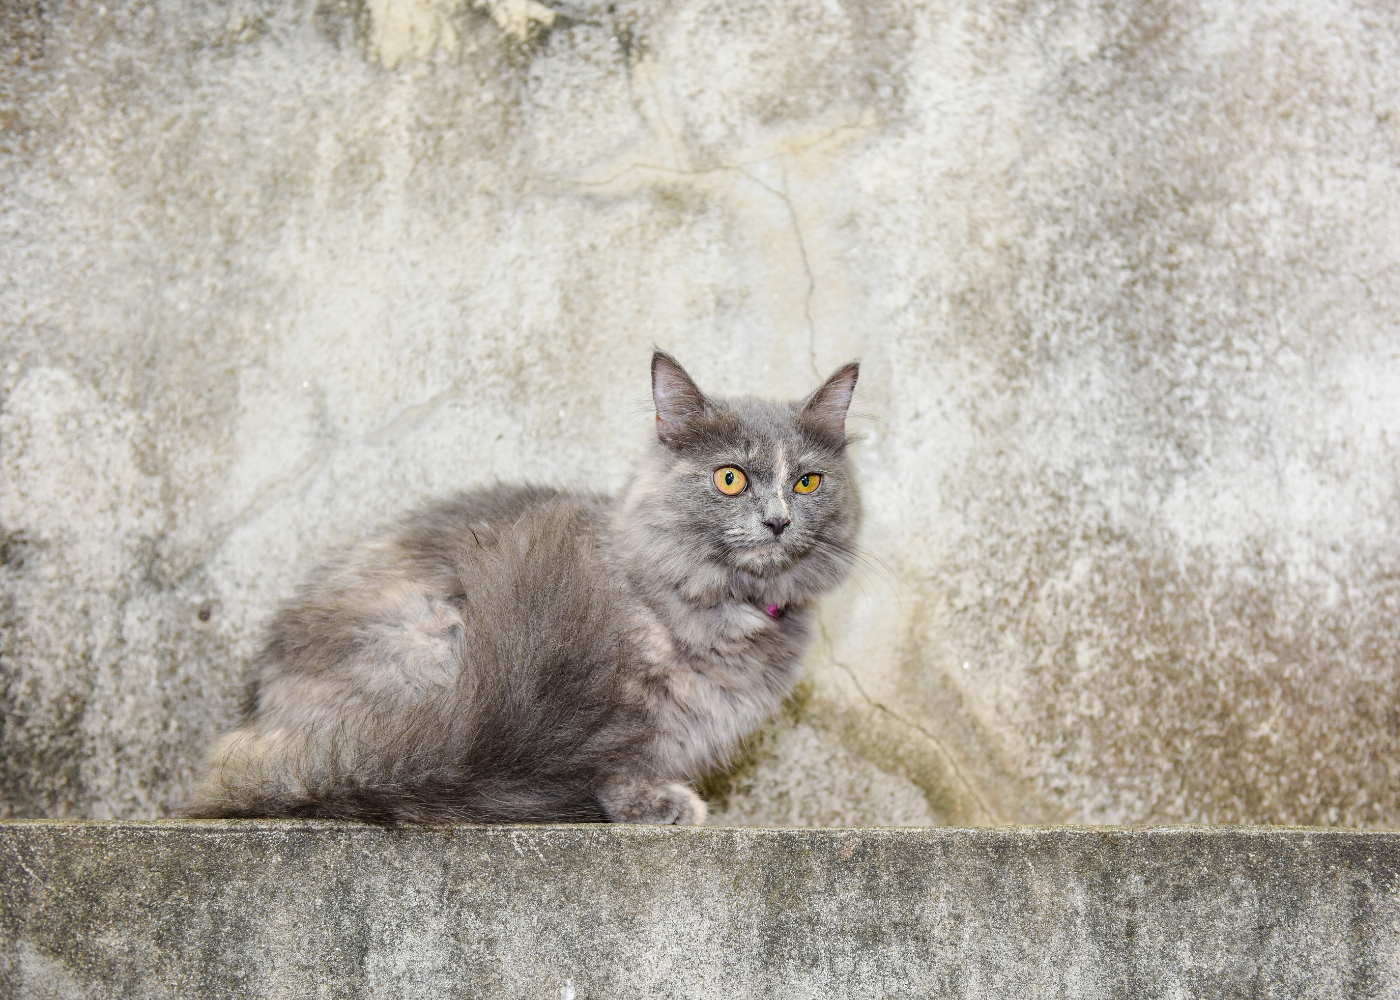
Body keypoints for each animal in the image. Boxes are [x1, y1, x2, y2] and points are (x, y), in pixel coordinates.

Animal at [186, 354, 862, 823]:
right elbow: (621, 757)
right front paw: (653, 804)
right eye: (730, 479)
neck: (720, 609)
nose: (777, 520)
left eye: (806, 482)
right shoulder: (613, 692)